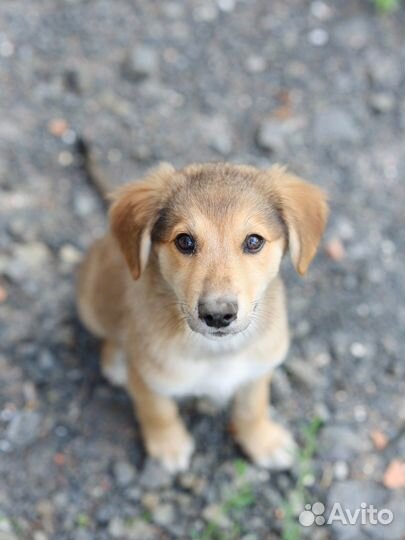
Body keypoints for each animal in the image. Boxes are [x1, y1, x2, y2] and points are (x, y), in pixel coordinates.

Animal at [76, 163, 328, 472]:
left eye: (254, 241)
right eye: (184, 241)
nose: (218, 315)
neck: (216, 352)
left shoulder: (258, 369)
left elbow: (252, 408)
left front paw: (263, 440)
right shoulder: (147, 378)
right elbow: (158, 411)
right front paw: (168, 445)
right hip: (90, 304)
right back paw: (115, 361)